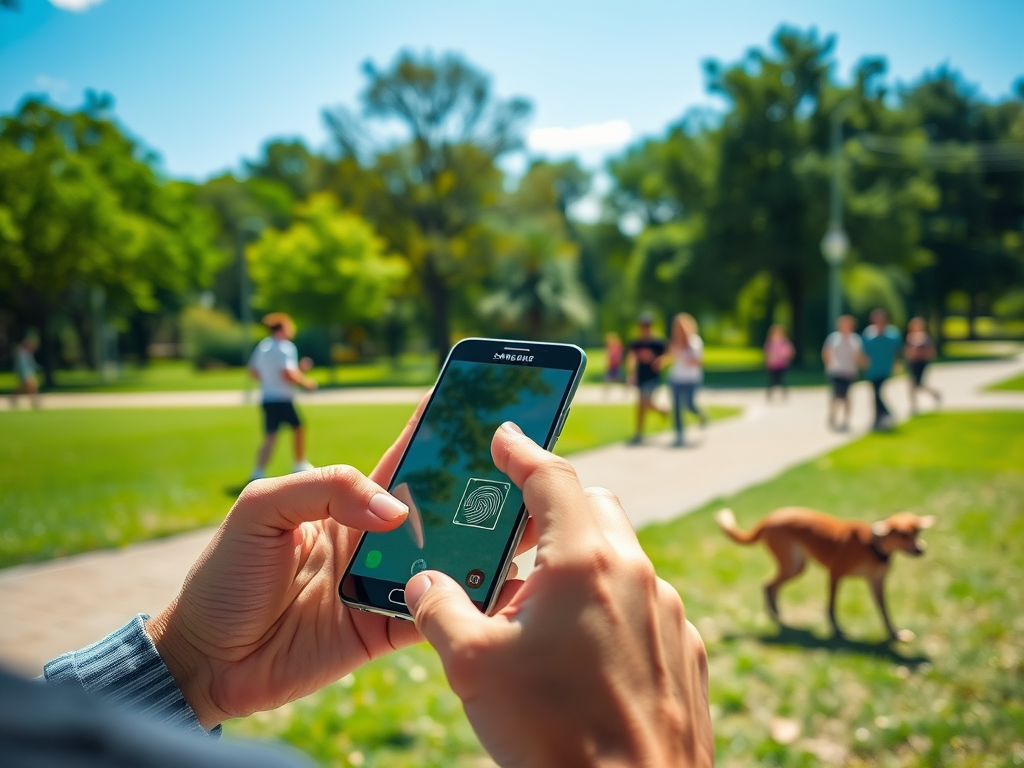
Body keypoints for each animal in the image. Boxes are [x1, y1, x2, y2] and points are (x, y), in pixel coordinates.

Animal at [716, 507, 933, 638]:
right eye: (903, 534)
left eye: (917, 532)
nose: (921, 549)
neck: (872, 545)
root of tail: (770, 517)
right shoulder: (835, 574)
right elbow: (831, 606)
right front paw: (836, 629)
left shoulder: (877, 583)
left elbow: (885, 611)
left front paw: (894, 634)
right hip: (791, 565)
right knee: (768, 585)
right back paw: (774, 614)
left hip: (797, 567)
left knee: (770, 586)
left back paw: (776, 613)